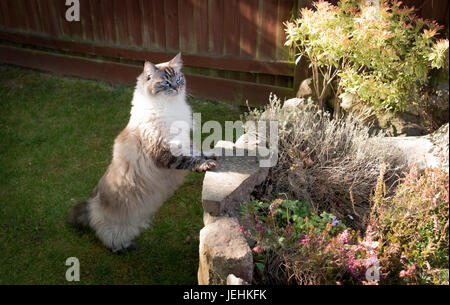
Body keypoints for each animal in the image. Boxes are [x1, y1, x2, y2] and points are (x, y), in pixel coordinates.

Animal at [67, 52, 217, 252]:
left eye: (178, 79)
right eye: (165, 83)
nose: (176, 88)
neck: (170, 106)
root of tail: (92, 203)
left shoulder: (185, 141)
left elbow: (198, 152)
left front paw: (213, 155)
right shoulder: (164, 152)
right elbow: (190, 160)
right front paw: (206, 165)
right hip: (117, 226)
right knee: (109, 236)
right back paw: (124, 248)